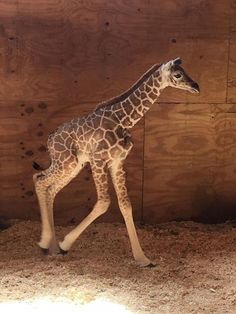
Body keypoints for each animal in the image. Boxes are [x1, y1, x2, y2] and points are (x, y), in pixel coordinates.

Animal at [33, 57, 199, 266]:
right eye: (177, 75)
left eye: (185, 71)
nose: (196, 86)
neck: (124, 120)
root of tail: (50, 139)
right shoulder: (98, 159)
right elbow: (104, 202)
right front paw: (66, 243)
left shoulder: (117, 162)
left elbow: (125, 205)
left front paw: (143, 258)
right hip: (66, 162)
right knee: (40, 180)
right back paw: (45, 243)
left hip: (73, 166)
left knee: (49, 188)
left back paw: (52, 247)